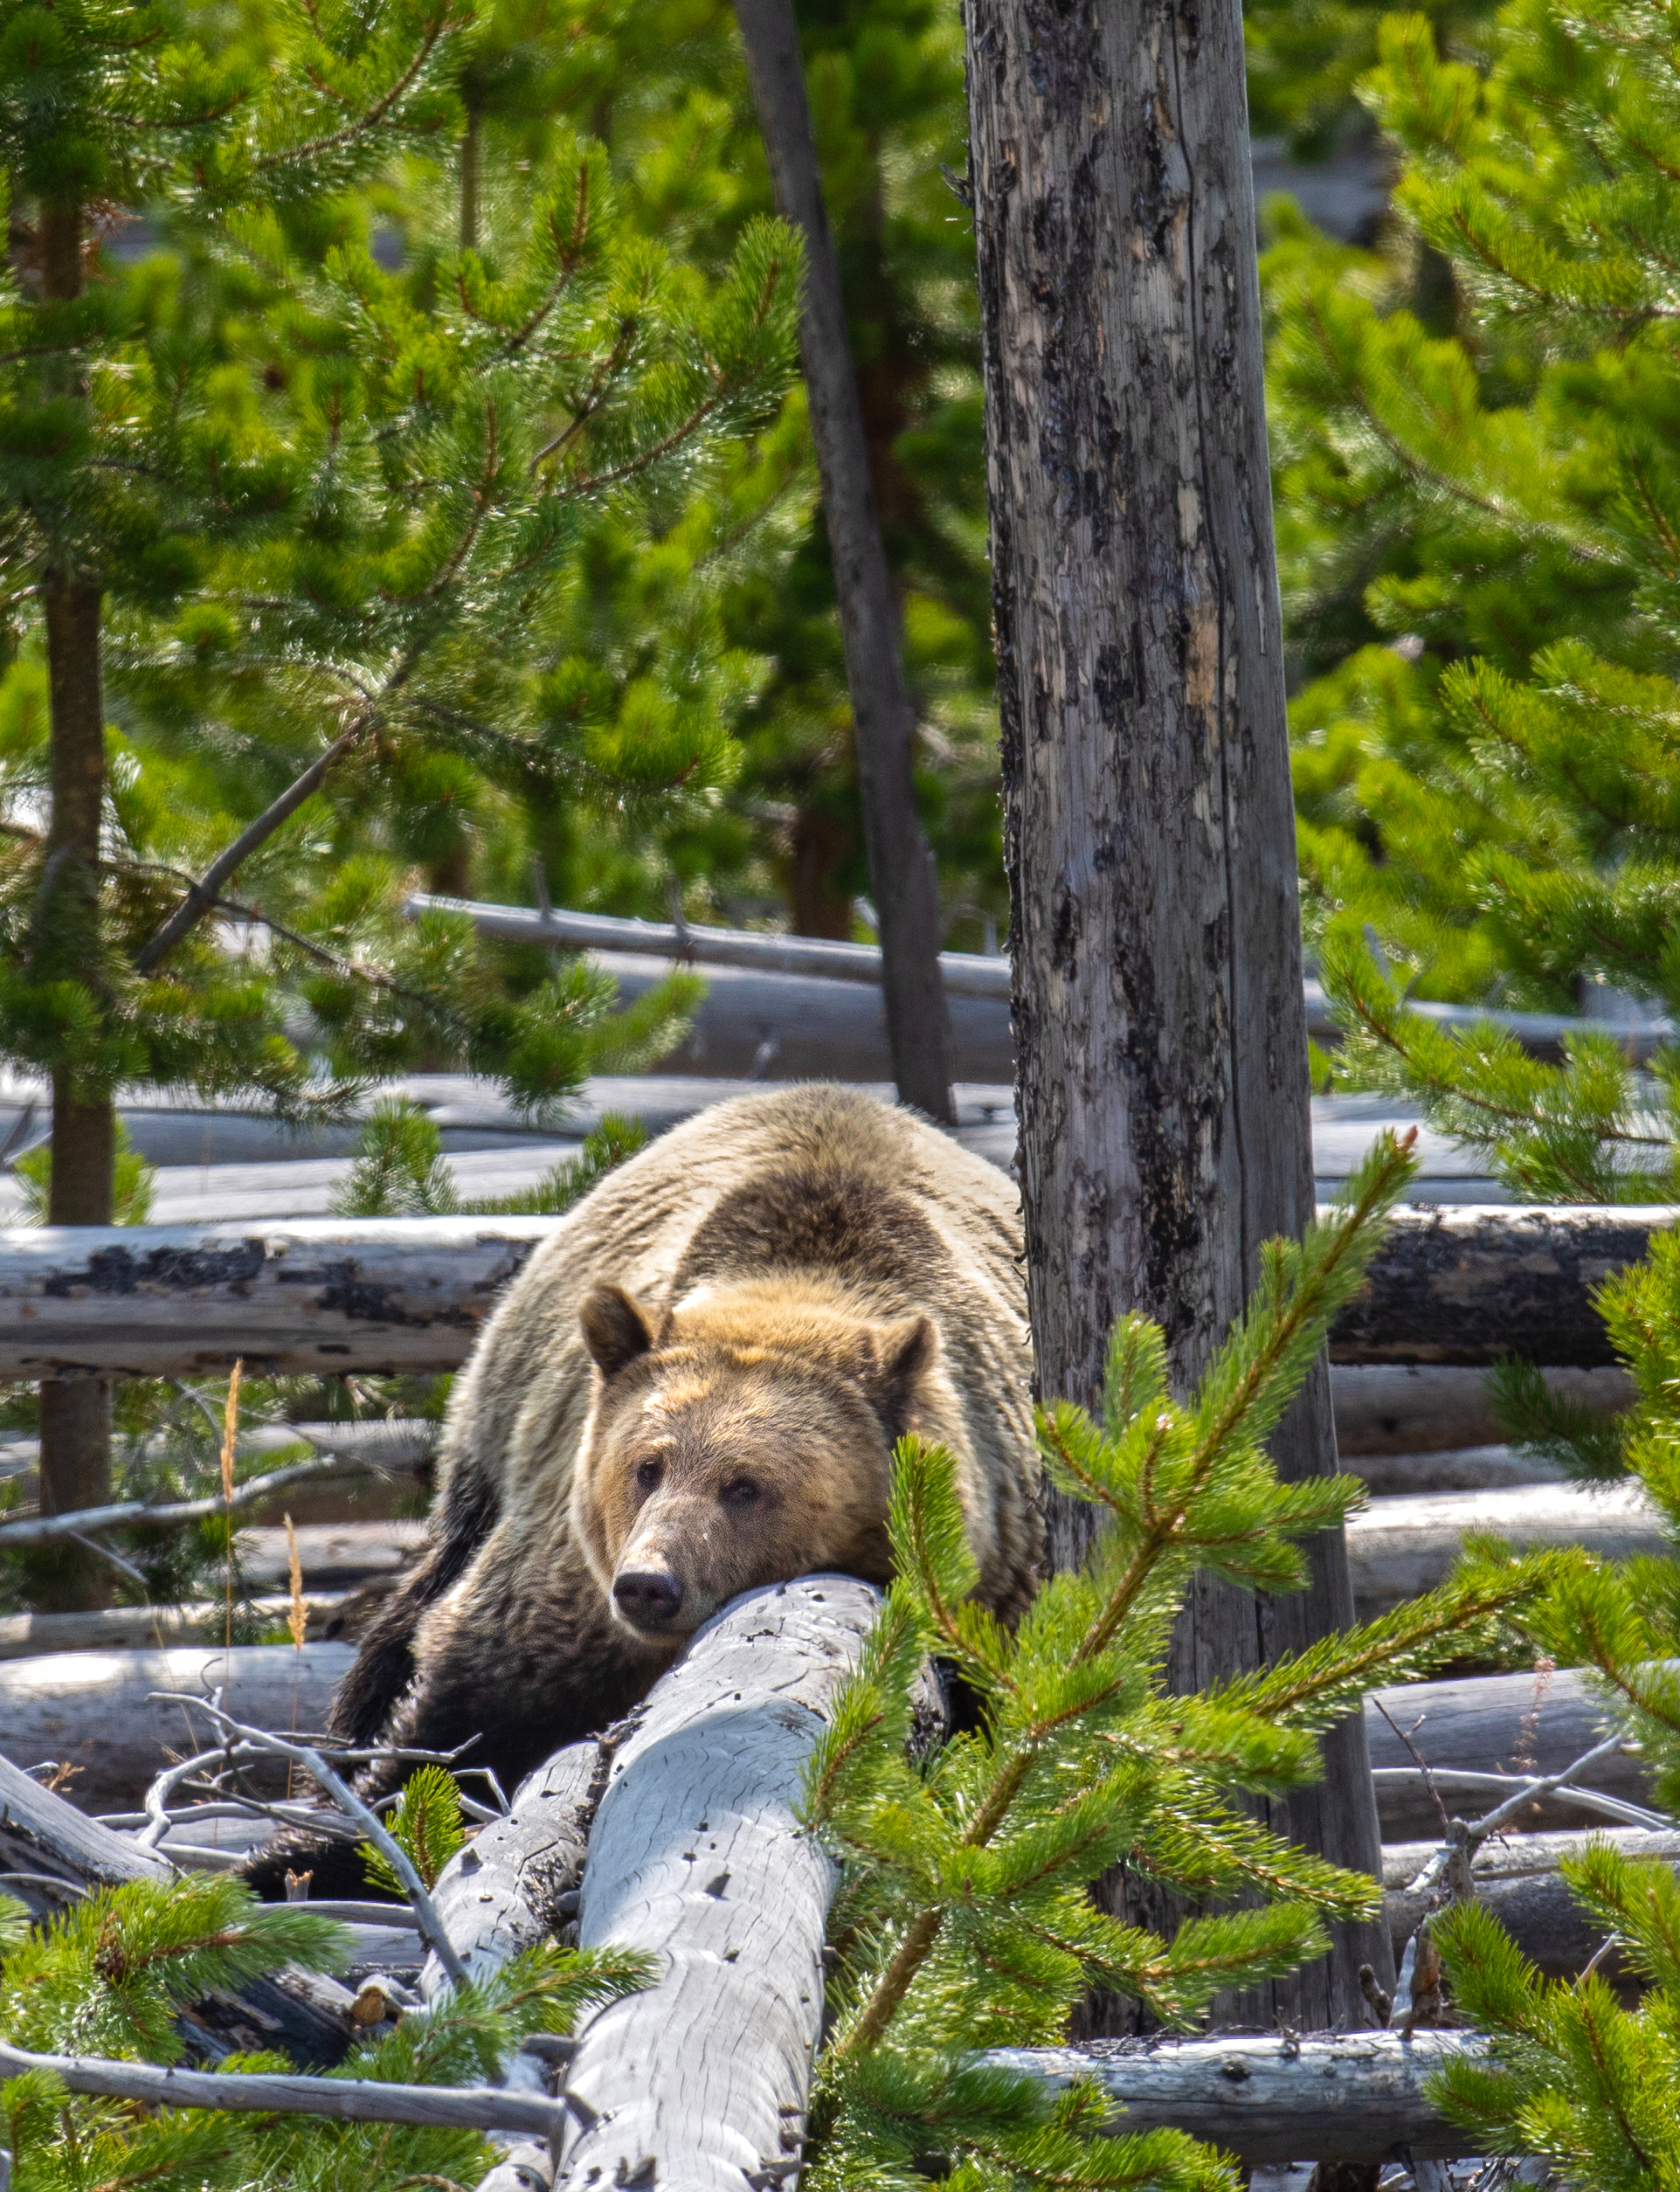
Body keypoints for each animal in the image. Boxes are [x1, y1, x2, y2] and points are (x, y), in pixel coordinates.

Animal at [242, 1083, 1041, 1898]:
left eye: (746, 1485)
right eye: (646, 1465)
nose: (649, 1584)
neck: (801, 1277)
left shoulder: (988, 1582)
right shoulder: (565, 1587)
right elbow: (460, 1716)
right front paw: (299, 1853)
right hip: (492, 1433)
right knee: (408, 1614)